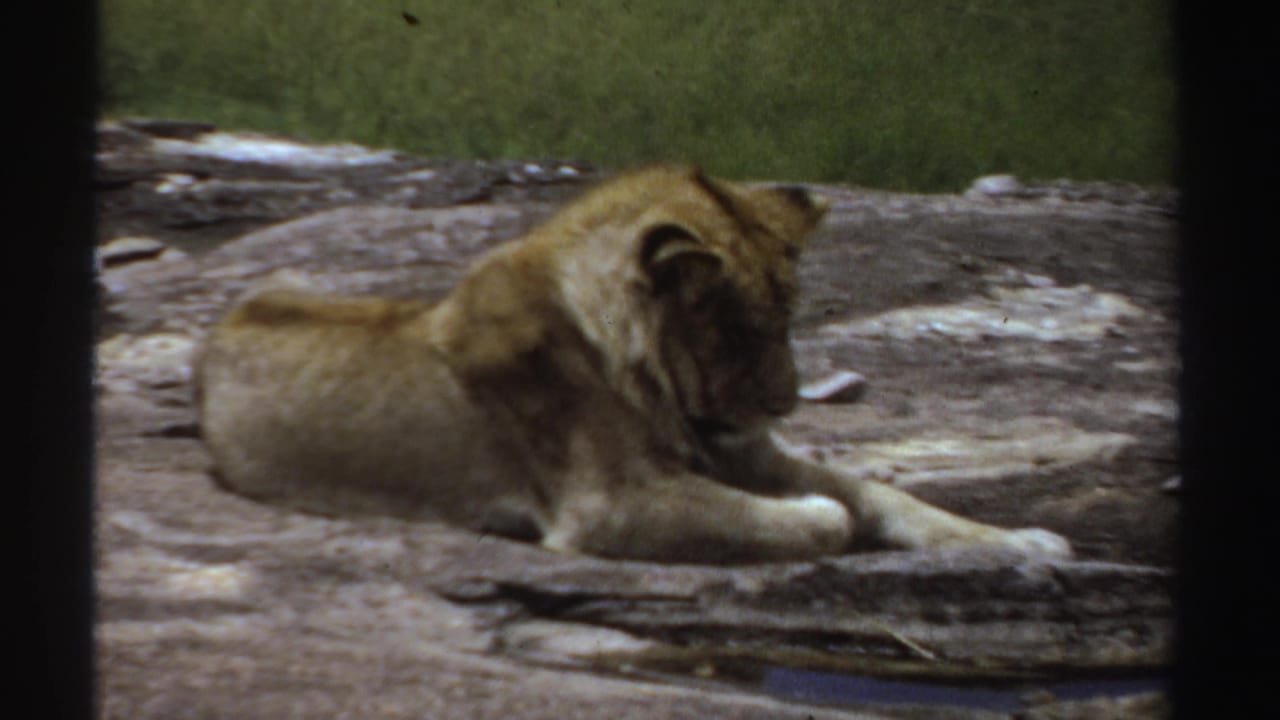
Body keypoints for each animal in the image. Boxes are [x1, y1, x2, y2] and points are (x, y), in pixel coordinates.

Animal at [196, 165, 1071, 564]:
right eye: (743, 333)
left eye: (787, 324)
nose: (786, 404)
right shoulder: (608, 505)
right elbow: (817, 515)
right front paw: (823, 520)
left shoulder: (744, 451)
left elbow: (883, 493)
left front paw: (1022, 542)